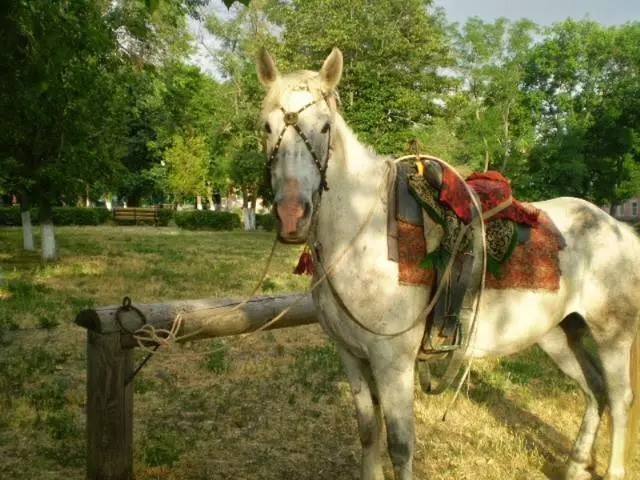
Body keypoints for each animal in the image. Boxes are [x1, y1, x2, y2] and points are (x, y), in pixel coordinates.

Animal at [255, 47, 640, 478]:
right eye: (267, 126)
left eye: (324, 128)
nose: (292, 215)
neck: (361, 233)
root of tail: (619, 228)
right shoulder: (352, 356)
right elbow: (368, 432)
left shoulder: (392, 363)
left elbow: (400, 446)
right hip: (559, 333)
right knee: (595, 390)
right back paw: (575, 464)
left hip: (612, 334)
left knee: (620, 398)